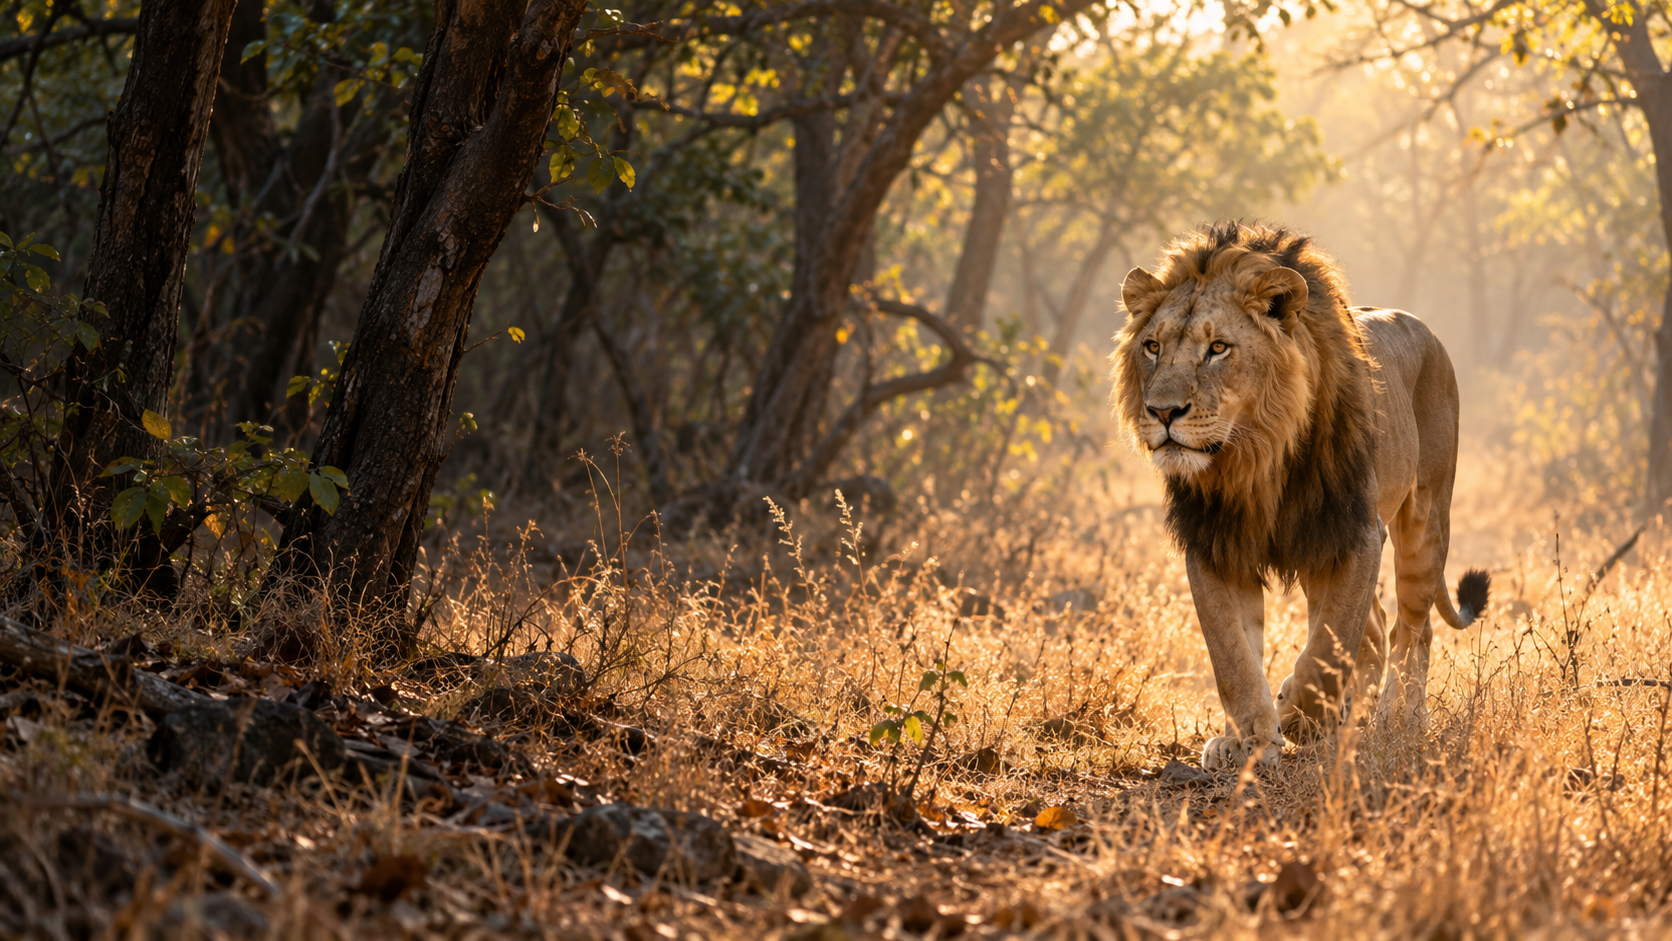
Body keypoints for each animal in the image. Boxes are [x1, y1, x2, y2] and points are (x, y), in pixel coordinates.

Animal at [1110, 221, 1489, 771]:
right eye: (1153, 347)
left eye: (1218, 348)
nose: (1162, 412)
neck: (1254, 457)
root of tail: (1429, 332)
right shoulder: (1215, 545)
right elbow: (1232, 653)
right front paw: (1247, 737)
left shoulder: (1354, 534)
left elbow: (1326, 651)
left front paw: (1297, 716)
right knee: (1380, 631)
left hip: (1424, 523)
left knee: (1412, 632)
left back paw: (1397, 721)